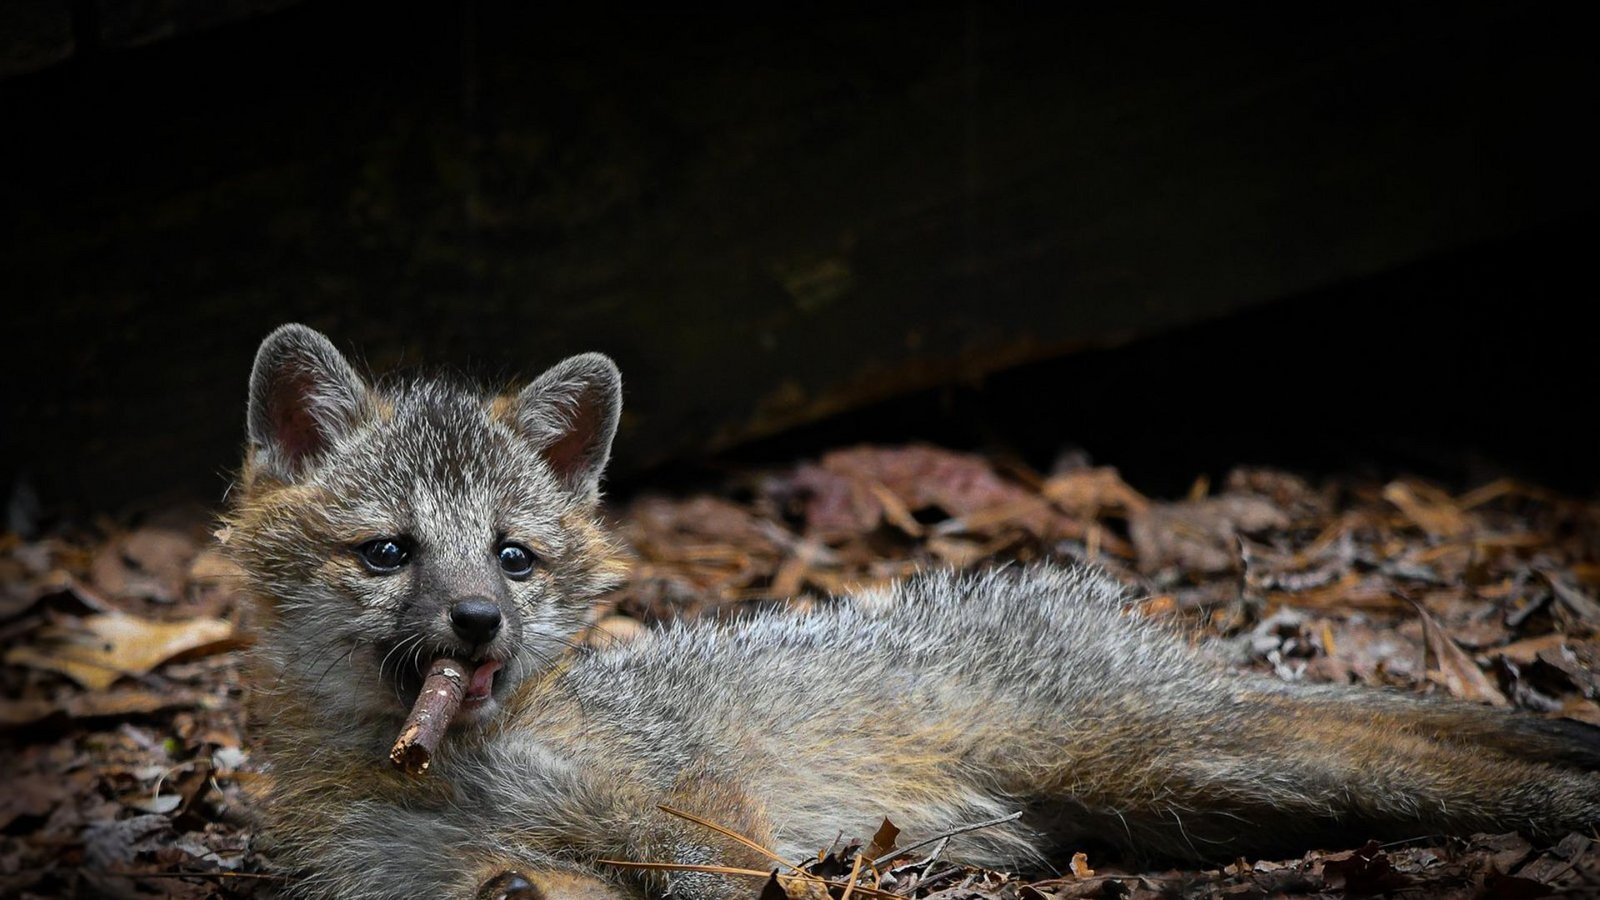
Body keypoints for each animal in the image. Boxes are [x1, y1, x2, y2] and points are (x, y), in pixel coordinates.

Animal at [226, 324, 1600, 899]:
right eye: (389, 553)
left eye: (513, 560)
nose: (476, 625)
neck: (457, 774)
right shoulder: (457, 881)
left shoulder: (698, 817)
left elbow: (731, 880)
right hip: (1180, 795)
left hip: (1186, 761)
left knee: (1412, 751)